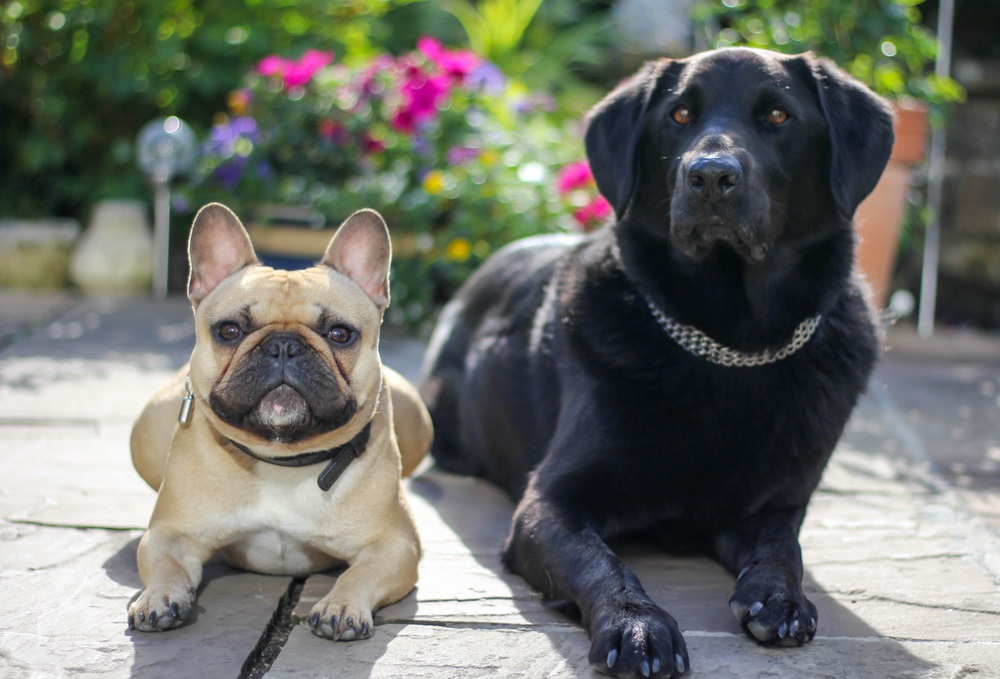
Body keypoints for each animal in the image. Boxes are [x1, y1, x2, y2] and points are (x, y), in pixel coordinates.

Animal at [418, 46, 896, 676]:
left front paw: (779, 595)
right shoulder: (548, 502)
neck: (730, 347)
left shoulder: (775, 506)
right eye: (679, 115)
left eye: (778, 116)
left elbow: (782, 549)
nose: (711, 175)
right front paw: (637, 624)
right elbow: (600, 560)